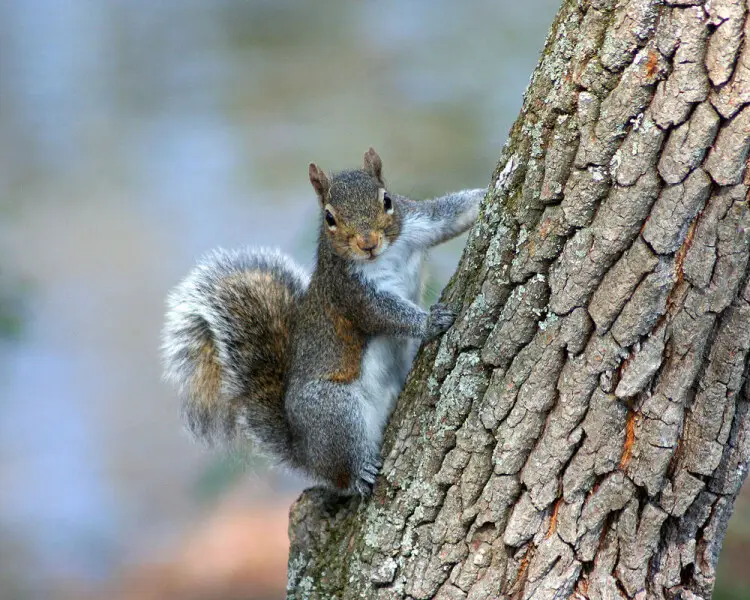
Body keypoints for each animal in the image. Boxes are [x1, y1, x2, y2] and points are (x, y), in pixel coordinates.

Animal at [162, 148, 485, 495]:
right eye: (330, 218)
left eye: (386, 200)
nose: (368, 243)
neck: (382, 256)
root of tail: (305, 453)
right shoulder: (349, 291)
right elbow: (383, 313)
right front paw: (429, 322)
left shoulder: (415, 222)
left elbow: (451, 214)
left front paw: (487, 192)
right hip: (334, 412)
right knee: (342, 470)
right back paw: (359, 473)